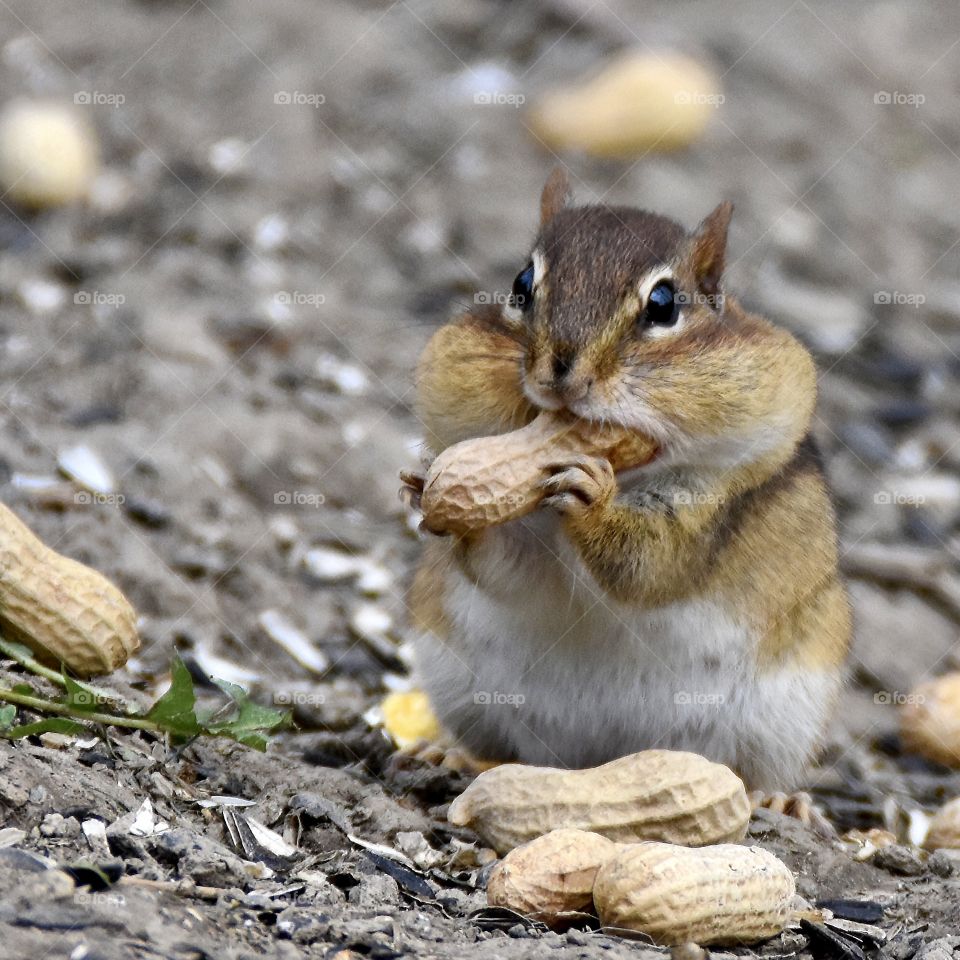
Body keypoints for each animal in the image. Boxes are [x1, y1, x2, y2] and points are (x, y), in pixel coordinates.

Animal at [404, 168, 851, 802]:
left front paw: (592, 500)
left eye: (663, 305)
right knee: (501, 748)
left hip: (789, 710)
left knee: (753, 770)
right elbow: (503, 568)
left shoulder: (709, 510)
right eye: (520, 285)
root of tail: (597, 763)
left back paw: (777, 799)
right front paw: (431, 491)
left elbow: (652, 565)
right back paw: (453, 755)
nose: (561, 371)